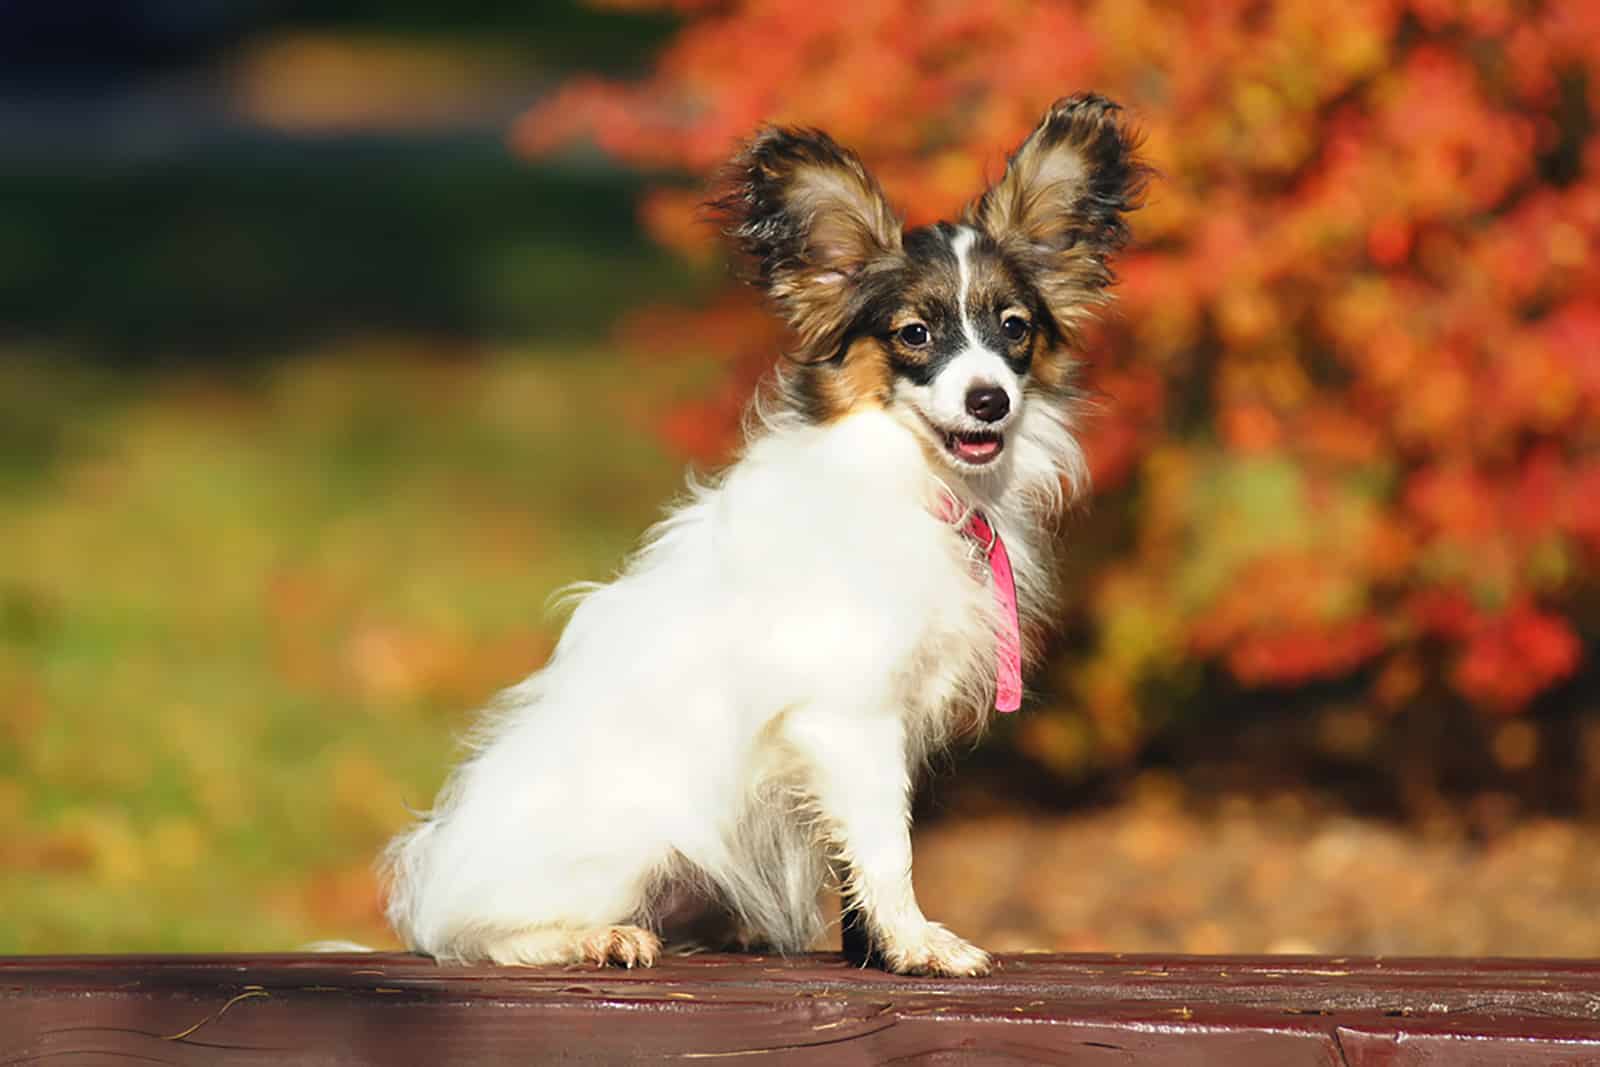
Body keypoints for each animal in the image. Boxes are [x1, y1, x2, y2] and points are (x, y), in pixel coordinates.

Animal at [380, 93, 1145, 979]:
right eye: (914, 334)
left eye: (1014, 328)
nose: (989, 400)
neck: (912, 479)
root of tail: (431, 874)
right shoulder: (850, 716)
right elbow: (887, 845)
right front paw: (918, 943)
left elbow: (859, 856)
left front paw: (874, 947)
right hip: (623, 841)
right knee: (478, 935)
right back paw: (591, 936)